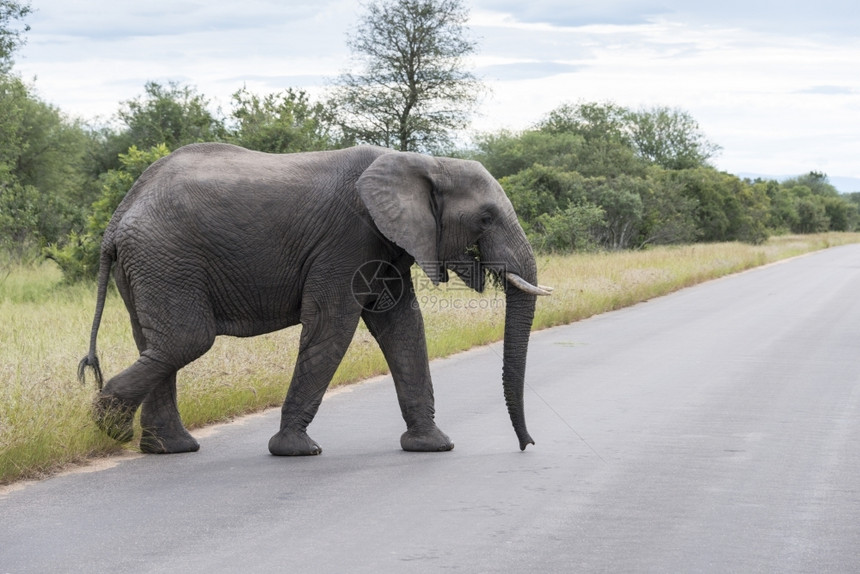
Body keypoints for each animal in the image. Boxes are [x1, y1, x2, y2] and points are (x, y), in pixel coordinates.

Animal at [79, 145, 552, 460]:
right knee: (186, 340)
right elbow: (333, 324)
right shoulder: (348, 238)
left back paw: (168, 448)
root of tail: (118, 216)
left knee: (156, 343)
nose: (527, 445)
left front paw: (434, 446)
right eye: (485, 218)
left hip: (150, 263)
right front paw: (297, 450)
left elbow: (402, 327)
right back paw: (109, 426)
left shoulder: (383, 246)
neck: (424, 161)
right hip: (165, 256)